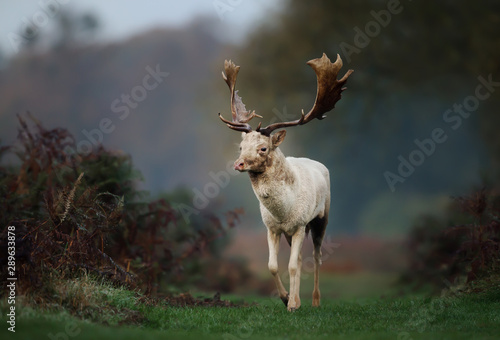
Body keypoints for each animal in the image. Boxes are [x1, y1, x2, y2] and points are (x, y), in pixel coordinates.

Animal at [218, 52, 352, 310]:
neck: (283, 211)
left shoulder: (299, 224)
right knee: (299, 259)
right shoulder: (272, 228)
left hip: (321, 218)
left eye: (263, 148)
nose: (239, 164)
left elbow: (291, 265)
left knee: (317, 256)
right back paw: (297, 299)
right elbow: (273, 265)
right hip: (293, 233)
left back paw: (315, 300)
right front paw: (285, 298)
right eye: (241, 146)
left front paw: (291, 303)